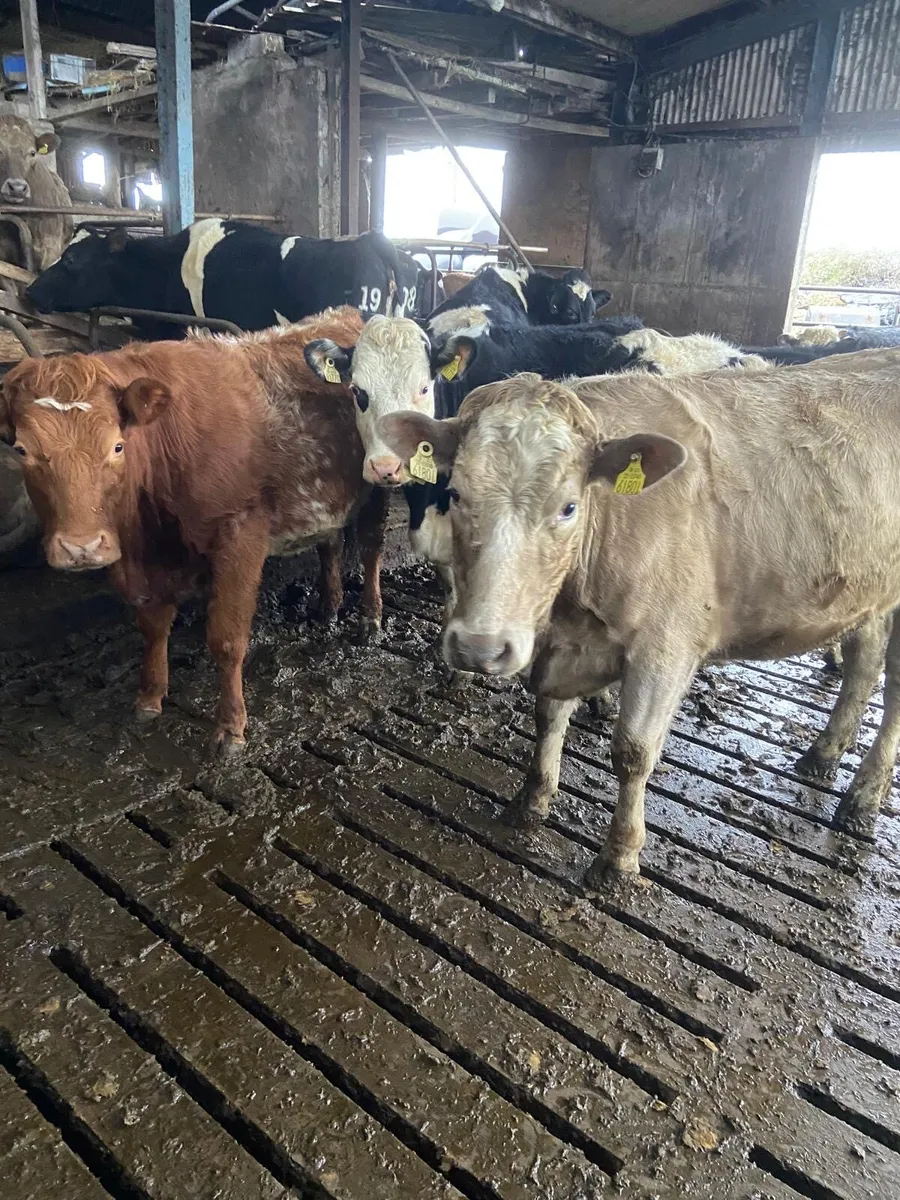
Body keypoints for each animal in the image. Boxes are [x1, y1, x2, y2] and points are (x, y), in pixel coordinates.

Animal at [0, 306, 387, 751]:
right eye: (22, 450)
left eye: (117, 446)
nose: (82, 548)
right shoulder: (146, 560)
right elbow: (152, 627)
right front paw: (150, 697)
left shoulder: (241, 536)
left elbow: (226, 638)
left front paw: (231, 726)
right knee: (330, 544)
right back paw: (328, 607)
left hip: (378, 486)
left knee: (371, 548)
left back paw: (369, 619)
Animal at [373, 354, 900, 882]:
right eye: (456, 494)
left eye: (569, 507)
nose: (479, 647)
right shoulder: (562, 645)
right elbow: (547, 717)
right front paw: (532, 799)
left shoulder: (666, 649)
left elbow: (633, 752)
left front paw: (619, 856)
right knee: (863, 659)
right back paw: (825, 752)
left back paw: (862, 800)